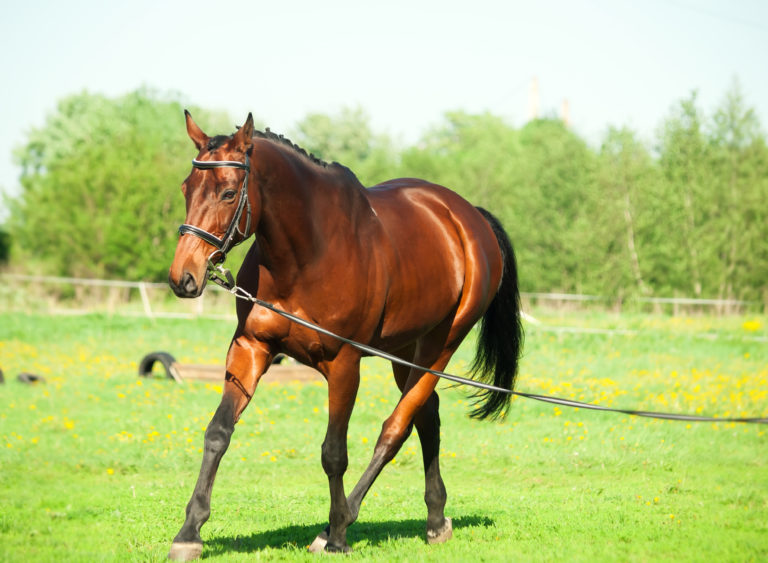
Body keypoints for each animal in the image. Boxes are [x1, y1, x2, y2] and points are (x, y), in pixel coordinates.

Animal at [168, 111, 524, 560]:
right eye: (186, 188)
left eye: (229, 193)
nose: (183, 277)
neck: (305, 256)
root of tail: (467, 216)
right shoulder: (250, 348)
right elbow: (218, 432)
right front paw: (189, 533)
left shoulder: (343, 364)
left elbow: (334, 453)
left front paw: (337, 535)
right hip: (405, 350)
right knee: (427, 417)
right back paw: (436, 519)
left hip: (439, 346)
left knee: (396, 429)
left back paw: (343, 521)